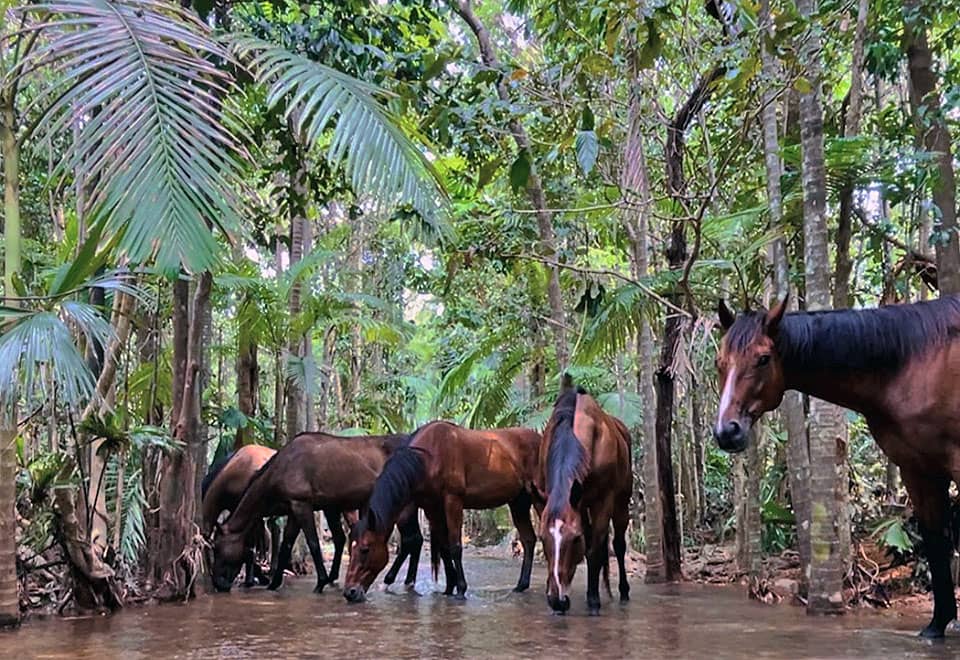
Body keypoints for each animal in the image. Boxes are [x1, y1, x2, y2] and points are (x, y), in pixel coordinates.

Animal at [211, 431, 423, 594]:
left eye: (217, 548)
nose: (217, 583)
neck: (283, 466)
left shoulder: (302, 505)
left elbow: (313, 543)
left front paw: (321, 582)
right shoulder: (294, 509)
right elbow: (286, 545)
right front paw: (274, 583)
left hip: (402, 508)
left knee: (410, 540)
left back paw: (392, 579)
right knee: (415, 539)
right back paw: (407, 580)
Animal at [343, 422, 542, 602]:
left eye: (365, 549)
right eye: (350, 548)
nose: (350, 592)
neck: (428, 458)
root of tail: (540, 438)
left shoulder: (453, 501)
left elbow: (455, 546)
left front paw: (460, 589)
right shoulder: (432, 507)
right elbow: (444, 547)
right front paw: (449, 587)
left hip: (539, 499)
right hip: (518, 503)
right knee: (529, 540)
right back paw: (521, 585)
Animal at [538, 376, 632, 615]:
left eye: (574, 539)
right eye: (542, 538)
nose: (557, 600)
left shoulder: (602, 502)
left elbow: (594, 550)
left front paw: (593, 600)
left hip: (621, 502)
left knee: (618, 544)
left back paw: (623, 591)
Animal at [714, 294, 960, 638]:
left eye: (763, 359)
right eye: (718, 362)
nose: (727, 431)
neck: (916, 363)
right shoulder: (918, 469)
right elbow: (936, 542)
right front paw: (936, 626)